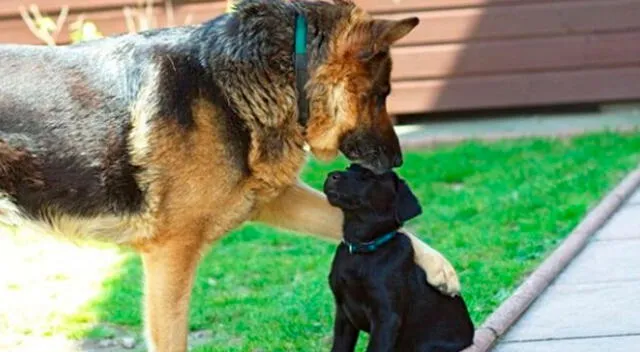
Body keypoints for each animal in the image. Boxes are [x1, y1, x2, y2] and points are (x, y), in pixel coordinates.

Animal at [0, 1, 460, 350]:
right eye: (381, 94)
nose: (397, 162)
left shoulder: (272, 199)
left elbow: (381, 228)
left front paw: (440, 268)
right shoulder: (170, 254)